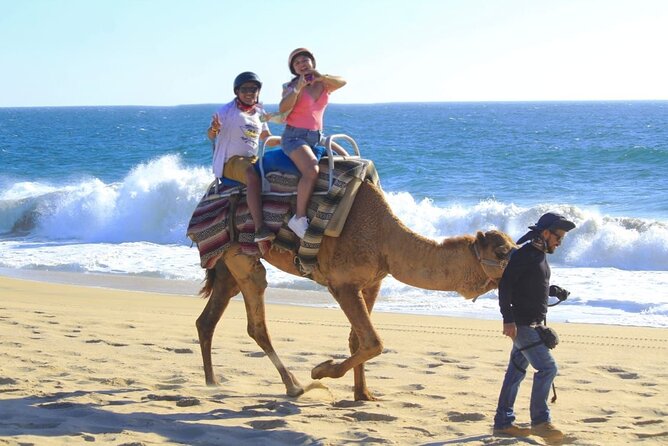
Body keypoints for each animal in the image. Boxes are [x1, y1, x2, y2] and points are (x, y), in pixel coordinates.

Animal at [196, 180, 516, 401]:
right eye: (502, 251)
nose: (523, 263)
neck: (387, 241)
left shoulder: (372, 282)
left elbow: (358, 340)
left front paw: (364, 395)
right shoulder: (342, 284)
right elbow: (373, 341)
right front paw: (320, 370)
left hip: (227, 258)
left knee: (208, 318)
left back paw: (212, 381)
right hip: (242, 256)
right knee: (256, 316)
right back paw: (295, 386)